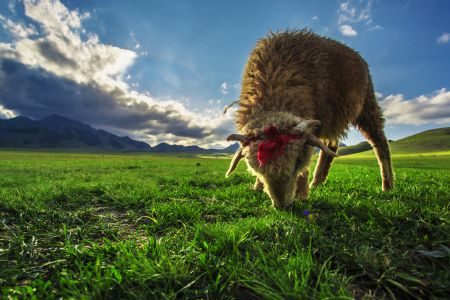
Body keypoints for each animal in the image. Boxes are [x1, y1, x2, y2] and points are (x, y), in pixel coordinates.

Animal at [227, 29, 392, 209]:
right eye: (255, 166)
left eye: (297, 162)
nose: (282, 206)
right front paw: (257, 186)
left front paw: (301, 194)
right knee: (331, 146)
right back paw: (317, 182)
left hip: (366, 103)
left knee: (380, 142)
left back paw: (387, 185)